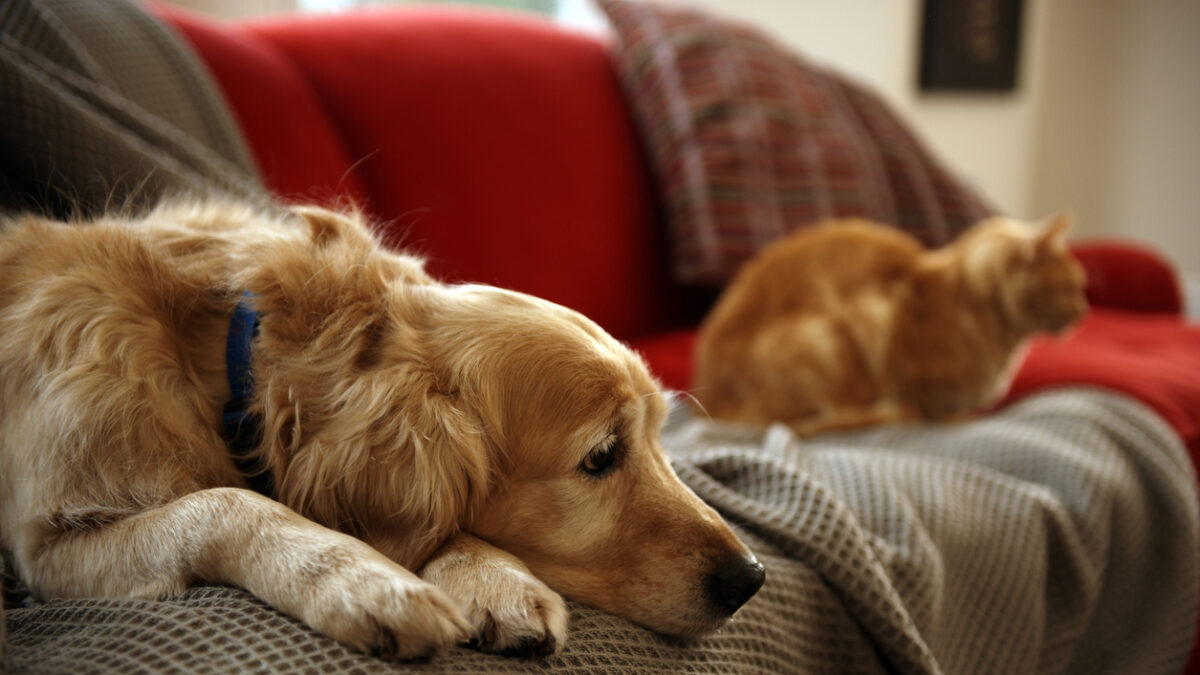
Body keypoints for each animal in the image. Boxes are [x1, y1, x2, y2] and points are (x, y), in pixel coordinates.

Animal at [0, 199, 763, 658]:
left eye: (662, 434)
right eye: (601, 456)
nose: (751, 578)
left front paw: (492, 579)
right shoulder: (50, 546)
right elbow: (226, 502)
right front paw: (365, 581)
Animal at [696, 216, 1089, 437]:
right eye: (1072, 288)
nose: (1083, 312)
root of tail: (711, 402)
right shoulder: (881, 322)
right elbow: (932, 406)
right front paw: (955, 418)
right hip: (823, 337)